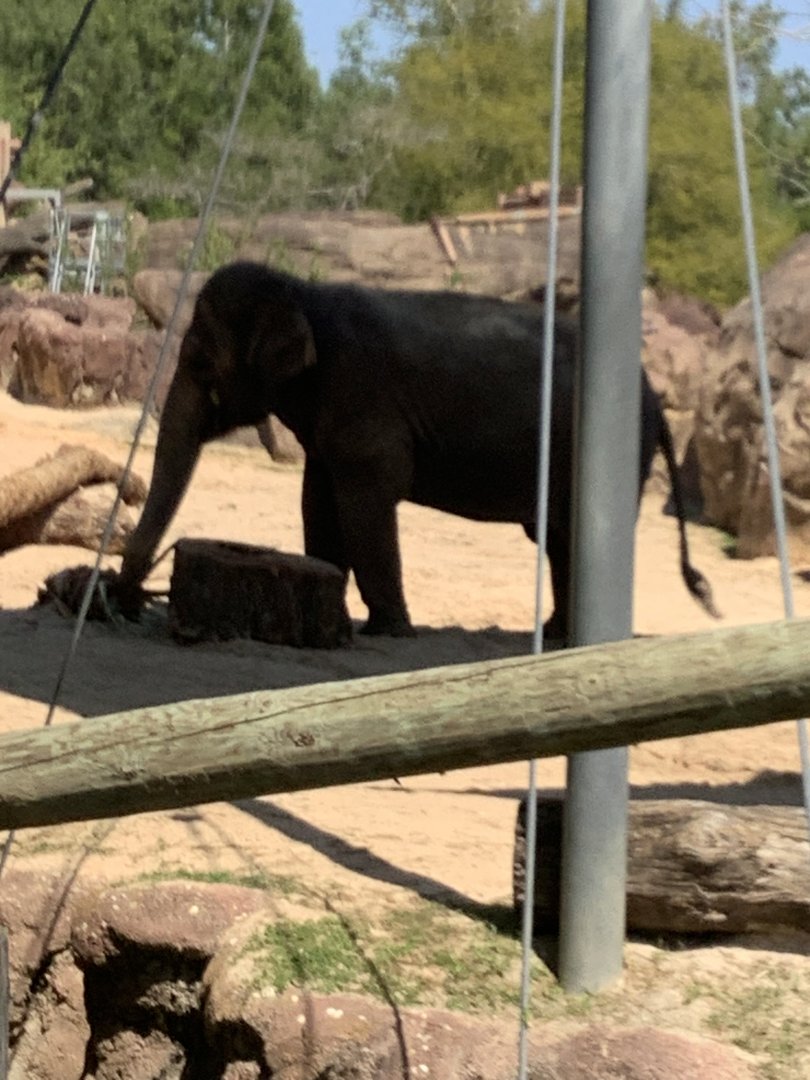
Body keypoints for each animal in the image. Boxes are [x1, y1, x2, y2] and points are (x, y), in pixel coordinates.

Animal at [118, 260, 718, 640]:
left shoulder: (363, 395)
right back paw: (553, 635)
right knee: (557, 539)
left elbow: (366, 500)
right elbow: (318, 502)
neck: (303, 293)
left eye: (201, 362)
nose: (125, 602)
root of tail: (655, 397)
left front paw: (388, 629)